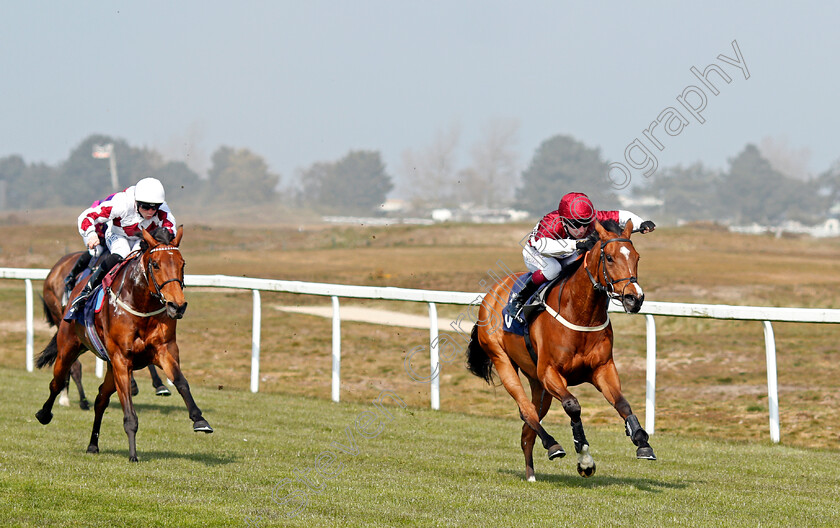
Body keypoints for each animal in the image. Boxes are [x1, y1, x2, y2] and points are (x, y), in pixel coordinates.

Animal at [41, 250, 172, 410]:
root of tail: (53, 271)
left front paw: (159, 385)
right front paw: (132, 384)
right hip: (62, 320)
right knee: (72, 364)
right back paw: (78, 400)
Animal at [470, 219, 652, 478]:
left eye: (637, 257)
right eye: (609, 258)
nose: (634, 298)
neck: (581, 313)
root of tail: (492, 293)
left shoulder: (602, 368)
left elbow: (622, 403)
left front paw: (641, 441)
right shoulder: (551, 372)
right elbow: (572, 406)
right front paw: (584, 459)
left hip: (538, 384)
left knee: (527, 430)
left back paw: (531, 474)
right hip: (503, 361)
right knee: (526, 410)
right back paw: (552, 444)